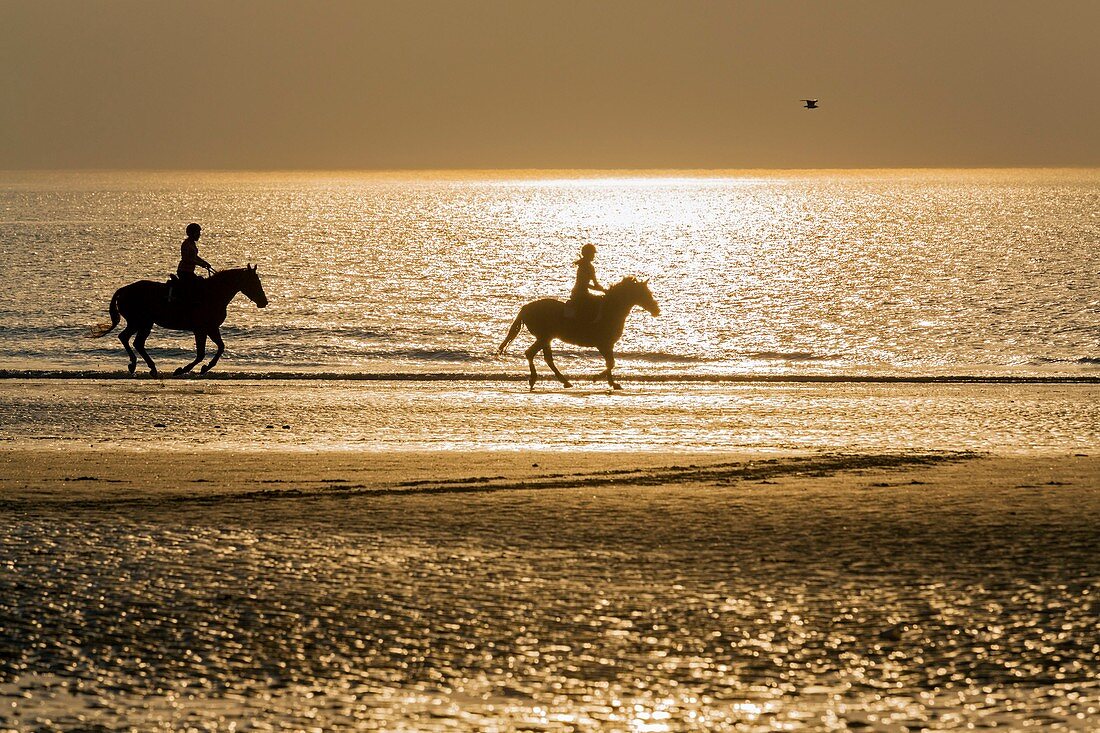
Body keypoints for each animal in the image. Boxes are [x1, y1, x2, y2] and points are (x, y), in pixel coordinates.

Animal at [90, 264, 268, 376]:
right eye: (254, 282)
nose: (264, 302)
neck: (213, 293)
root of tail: (123, 290)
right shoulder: (202, 329)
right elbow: (202, 353)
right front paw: (183, 369)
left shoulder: (211, 328)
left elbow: (220, 347)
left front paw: (204, 368)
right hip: (140, 322)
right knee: (131, 340)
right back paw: (139, 365)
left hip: (142, 323)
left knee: (132, 340)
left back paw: (144, 366)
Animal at [501, 275, 660, 387]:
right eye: (645, 293)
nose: (656, 310)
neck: (611, 310)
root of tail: (526, 308)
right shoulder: (603, 344)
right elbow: (611, 363)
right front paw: (597, 378)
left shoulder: (608, 345)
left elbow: (610, 363)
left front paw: (612, 383)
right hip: (544, 337)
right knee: (531, 353)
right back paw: (537, 379)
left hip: (546, 338)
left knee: (546, 358)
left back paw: (563, 381)